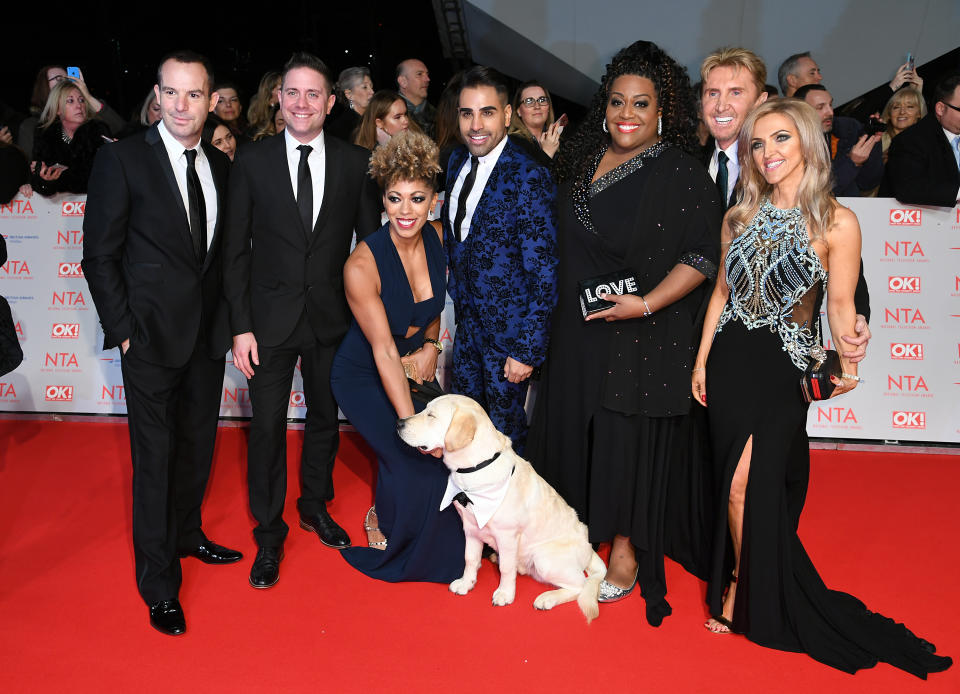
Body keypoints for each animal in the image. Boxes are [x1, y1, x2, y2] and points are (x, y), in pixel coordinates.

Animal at [394, 396, 604, 624]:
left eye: (431, 415)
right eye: (424, 410)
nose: (399, 422)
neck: (475, 468)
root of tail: (590, 548)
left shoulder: (507, 536)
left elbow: (506, 569)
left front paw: (505, 593)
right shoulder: (470, 529)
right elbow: (470, 559)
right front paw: (466, 582)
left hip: (545, 558)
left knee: (580, 585)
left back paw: (547, 598)